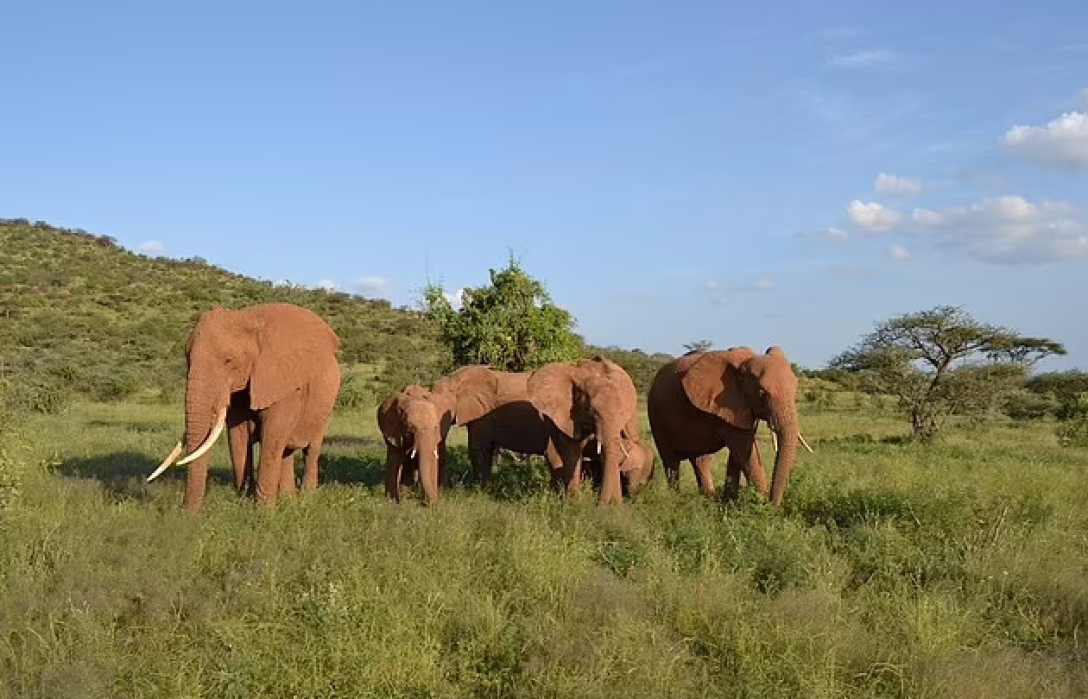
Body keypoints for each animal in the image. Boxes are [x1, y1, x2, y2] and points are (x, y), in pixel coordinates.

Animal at [145, 302, 339, 509]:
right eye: (187, 359)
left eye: (228, 360)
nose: (184, 513)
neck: (246, 318)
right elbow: (238, 435)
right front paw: (244, 501)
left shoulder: (284, 382)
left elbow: (272, 435)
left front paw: (263, 511)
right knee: (286, 451)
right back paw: (289, 500)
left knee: (311, 449)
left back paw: (307, 498)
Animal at [526, 357, 644, 503]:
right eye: (591, 411)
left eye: (622, 413)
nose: (602, 503)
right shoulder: (567, 415)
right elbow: (572, 450)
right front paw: (574, 502)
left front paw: (613, 505)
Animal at [644, 344, 809, 503]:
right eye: (762, 393)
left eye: (795, 390)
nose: (775, 503)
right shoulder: (728, 404)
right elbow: (744, 450)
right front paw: (761, 504)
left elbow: (740, 452)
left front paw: (730, 500)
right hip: (656, 414)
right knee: (671, 461)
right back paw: (676, 500)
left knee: (700, 460)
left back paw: (708, 498)